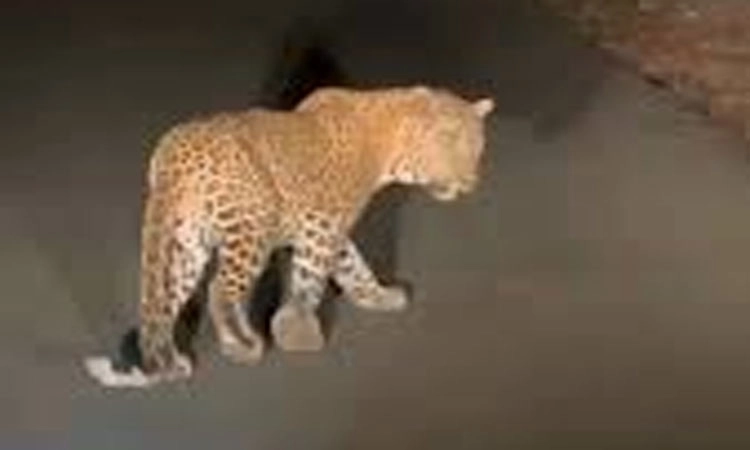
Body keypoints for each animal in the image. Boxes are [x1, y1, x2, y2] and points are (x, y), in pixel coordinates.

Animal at [83, 85, 494, 388]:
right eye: (454, 148)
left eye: (478, 151)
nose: (473, 183)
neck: (388, 147)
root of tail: (172, 151)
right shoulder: (322, 223)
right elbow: (310, 276)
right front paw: (297, 333)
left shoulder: (329, 228)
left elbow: (353, 266)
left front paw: (378, 297)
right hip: (251, 227)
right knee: (219, 289)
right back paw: (241, 345)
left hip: (187, 240)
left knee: (168, 298)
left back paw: (171, 362)